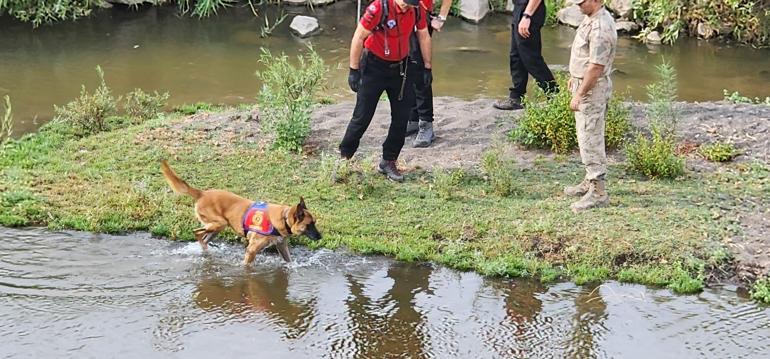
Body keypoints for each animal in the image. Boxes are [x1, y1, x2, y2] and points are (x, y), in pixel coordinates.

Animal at [160, 160, 320, 264]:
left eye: (314, 223)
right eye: (309, 225)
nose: (320, 236)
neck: (283, 217)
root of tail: (202, 193)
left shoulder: (282, 246)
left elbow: (289, 262)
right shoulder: (252, 250)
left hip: (218, 227)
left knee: (202, 237)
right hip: (218, 224)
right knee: (197, 233)